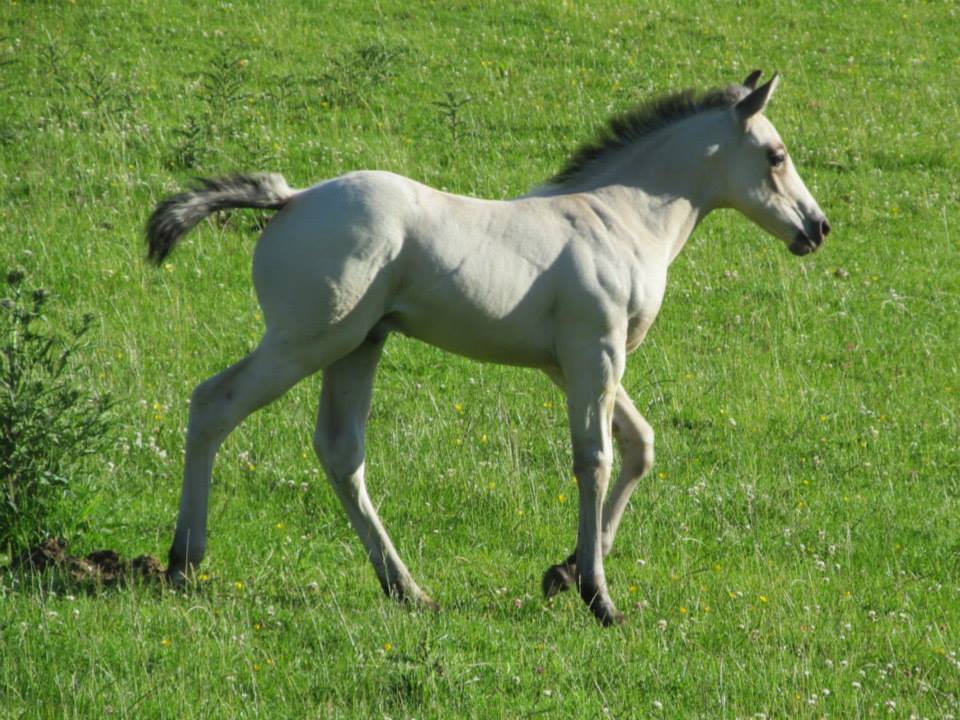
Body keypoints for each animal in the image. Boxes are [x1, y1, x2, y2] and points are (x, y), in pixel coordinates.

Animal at [148, 71, 824, 624]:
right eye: (776, 156)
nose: (817, 228)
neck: (621, 218)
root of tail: (289, 198)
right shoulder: (596, 353)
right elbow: (596, 461)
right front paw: (598, 597)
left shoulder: (573, 365)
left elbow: (640, 446)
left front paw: (563, 572)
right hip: (307, 341)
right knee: (213, 404)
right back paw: (183, 560)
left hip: (358, 345)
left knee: (341, 452)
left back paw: (407, 589)